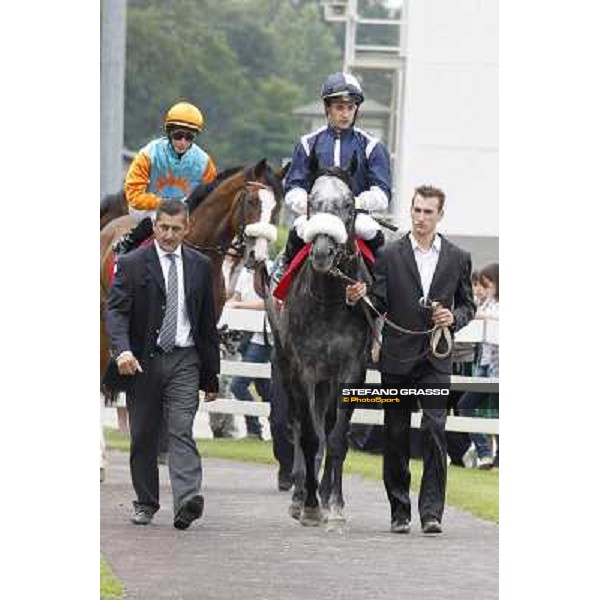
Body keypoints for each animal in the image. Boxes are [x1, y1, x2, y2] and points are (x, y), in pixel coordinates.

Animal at [264, 155, 372, 524]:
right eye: (312, 202)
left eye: (349, 205)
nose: (323, 252)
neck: (329, 302)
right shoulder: (303, 369)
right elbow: (310, 436)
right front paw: (309, 504)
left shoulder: (351, 370)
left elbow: (336, 437)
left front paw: (334, 503)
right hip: (285, 365)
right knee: (300, 424)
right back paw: (301, 494)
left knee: (326, 424)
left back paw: (323, 493)